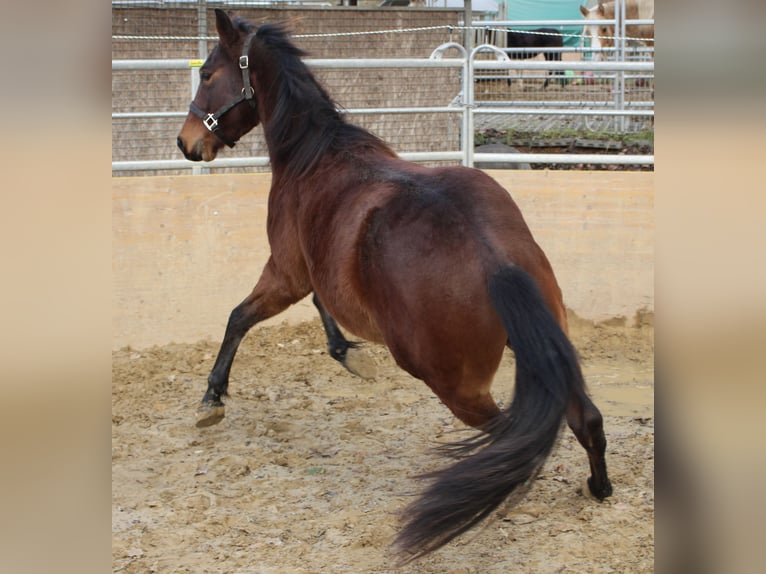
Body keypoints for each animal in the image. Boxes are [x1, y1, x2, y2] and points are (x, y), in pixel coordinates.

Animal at [177, 9, 616, 564]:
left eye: (208, 74)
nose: (186, 142)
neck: (313, 156)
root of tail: (493, 258)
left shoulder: (286, 272)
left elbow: (239, 316)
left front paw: (211, 400)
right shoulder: (311, 273)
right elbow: (320, 305)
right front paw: (348, 353)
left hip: (452, 384)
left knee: (508, 438)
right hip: (546, 349)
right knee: (586, 420)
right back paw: (598, 488)